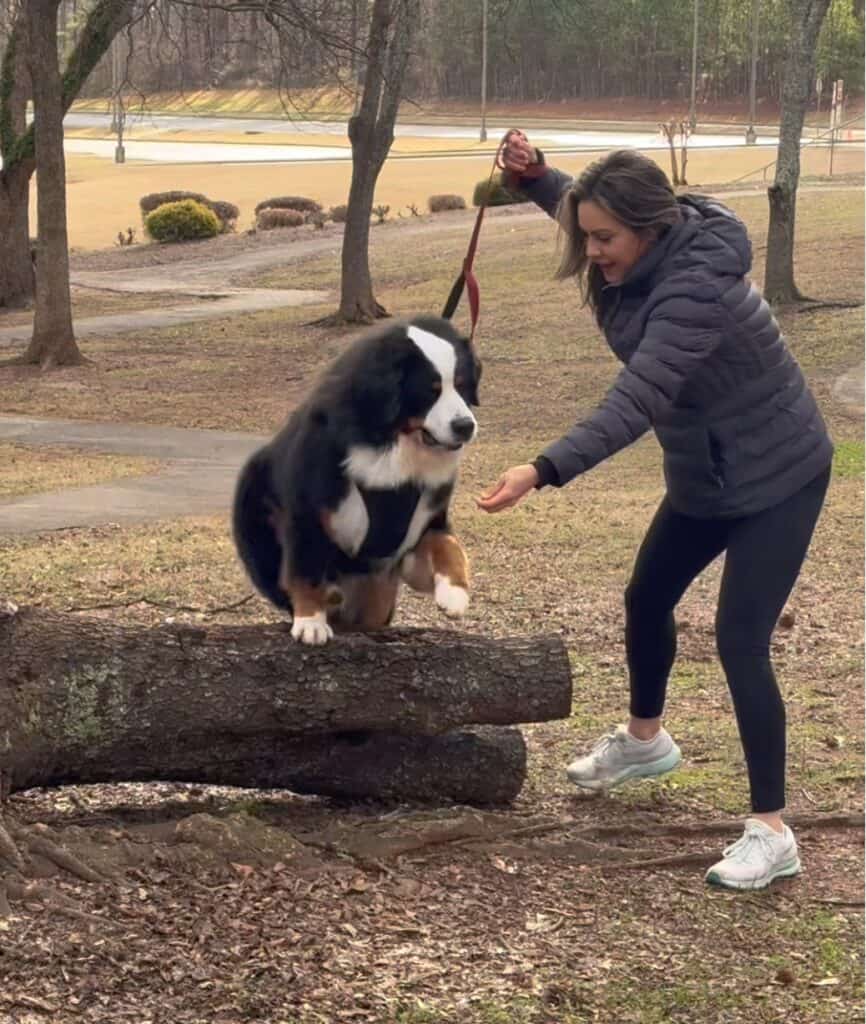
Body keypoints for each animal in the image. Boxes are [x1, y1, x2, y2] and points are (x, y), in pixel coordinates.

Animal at [232, 315, 481, 643]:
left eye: (463, 386)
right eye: (431, 391)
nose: (465, 426)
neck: (392, 448)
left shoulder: (426, 521)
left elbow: (448, 545)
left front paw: (454, 593)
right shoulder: (306, 512)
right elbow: (304, 569)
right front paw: (310, 621)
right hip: (252, 491)